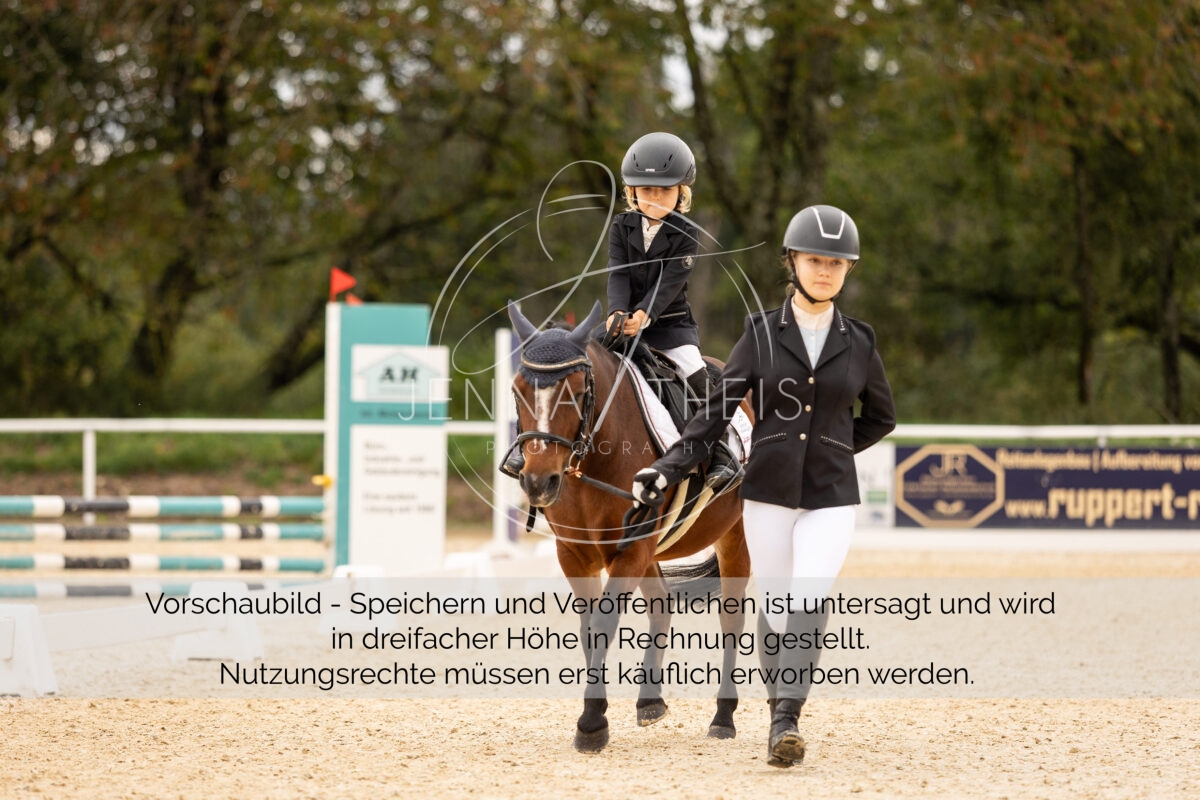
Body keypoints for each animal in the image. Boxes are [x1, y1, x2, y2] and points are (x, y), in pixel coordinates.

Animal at [506, 300, 752, 753]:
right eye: (517, 391)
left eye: (577, 392)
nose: (538, 481)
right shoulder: (575, 554)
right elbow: (588, 629)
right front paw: (596, 717)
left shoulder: (632, 549)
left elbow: (604, 624)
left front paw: (590, 725)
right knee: (662, 605)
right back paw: (650, 701)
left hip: (734, 535)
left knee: (732, 619)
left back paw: (723, 717)